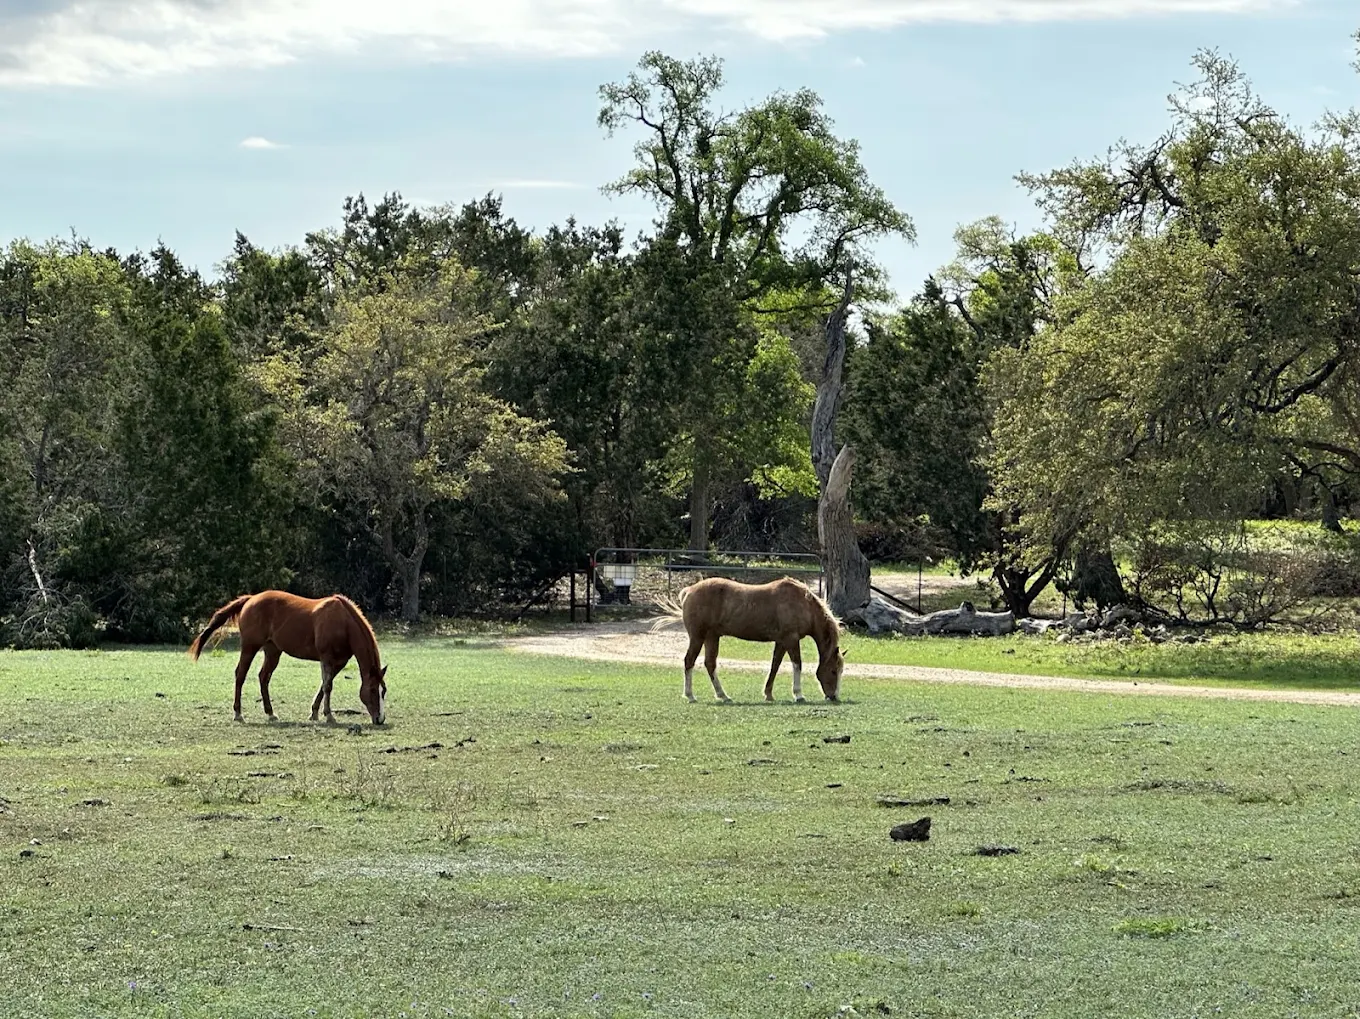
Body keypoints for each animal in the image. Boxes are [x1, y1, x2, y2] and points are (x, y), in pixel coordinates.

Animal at [187, 591, 388, 725]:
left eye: (383, 691)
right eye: (372, 690)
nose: (380, 719)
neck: (343, 623)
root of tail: (251, 598)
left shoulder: (339, 662)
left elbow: (324, 686)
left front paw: (314, 713)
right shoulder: (327, 658)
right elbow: (328, 686)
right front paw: (329, 715)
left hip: (273, 651)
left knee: (263, 677)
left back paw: (270, 713)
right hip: (250, 647)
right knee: (240, 675)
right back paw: (238, 714)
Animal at [655, 576, 845, 704]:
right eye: (833, 671)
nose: (834, 696)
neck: (803, 604)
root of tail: (688, 591)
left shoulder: (781, 641)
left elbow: (775, 666)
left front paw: (768, 694)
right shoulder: (791, 639)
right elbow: (797, 664)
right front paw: (798, 694)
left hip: (711, 637)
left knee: (710, 664)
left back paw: (723, 695)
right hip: (698, 637)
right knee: (689, 661)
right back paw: (690, 695)